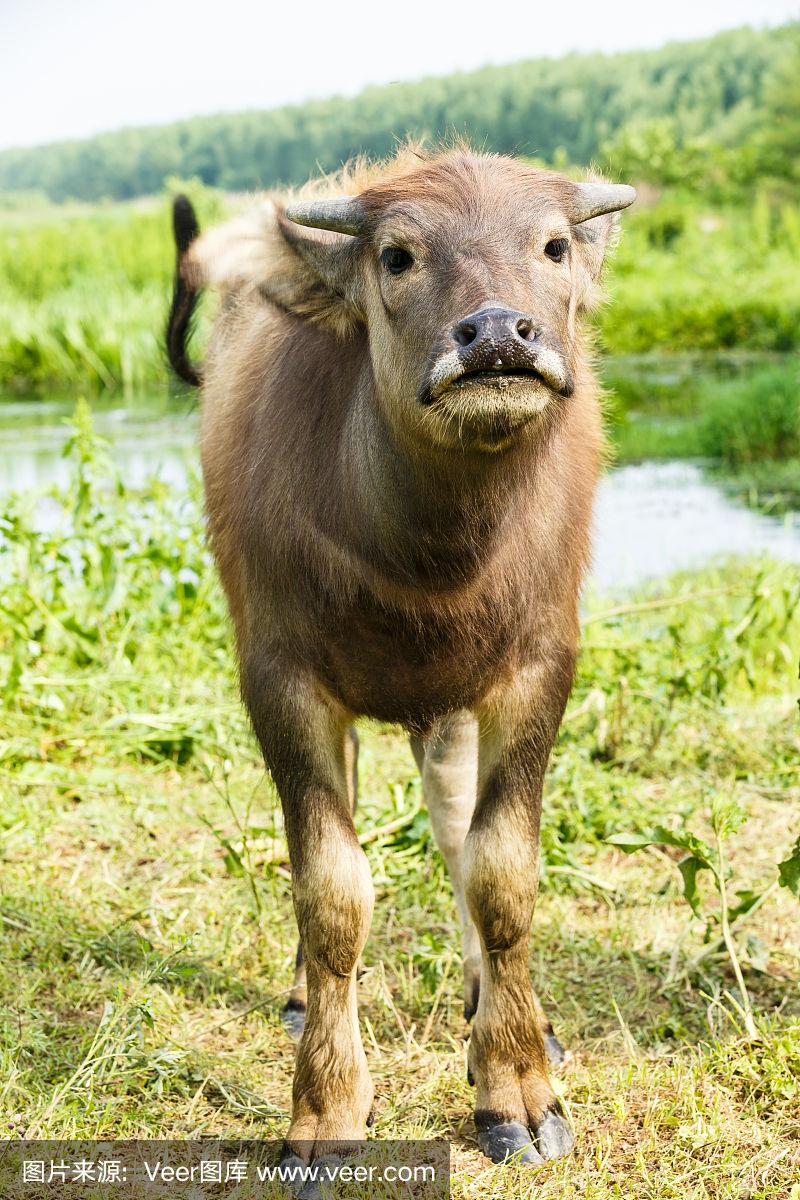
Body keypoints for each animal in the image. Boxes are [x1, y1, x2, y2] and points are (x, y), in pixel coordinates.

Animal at [165, 145, 633, 1166]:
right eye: (397, 255)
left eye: (552, 245)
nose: (495, 332)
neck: (429, 558)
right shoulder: (281, 681)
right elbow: (331, 893)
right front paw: (326, 1111)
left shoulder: (537, 668)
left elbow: (501, 872)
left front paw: (517, 1089)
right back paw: (303, 995)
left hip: (454, 703)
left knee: (456, 824)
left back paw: (495, 1003)